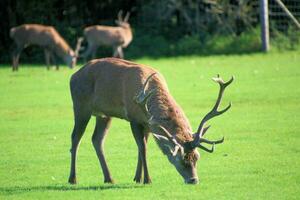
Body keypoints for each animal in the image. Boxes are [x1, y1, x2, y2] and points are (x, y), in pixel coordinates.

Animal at [68, 57, 234, 184]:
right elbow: (143, 148)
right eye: (180, 159)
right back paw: (73, 179)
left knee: (97, 139)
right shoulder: (134, 118)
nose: (194, 180)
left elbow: (142, 147)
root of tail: (73, 76)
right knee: (75, 138)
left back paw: (109, 178)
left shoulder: (147, 123)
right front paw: (147, 179)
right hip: (81, 106)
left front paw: (137, 178)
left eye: (197, 157)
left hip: (104, 115)